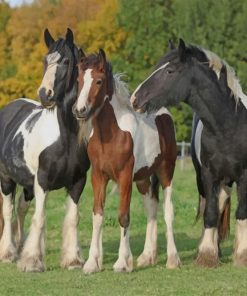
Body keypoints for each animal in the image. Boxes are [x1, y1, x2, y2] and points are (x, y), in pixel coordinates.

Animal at [0, 28, 89, 272]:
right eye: (45, 60)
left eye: (66, 61)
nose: (44, 94)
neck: (67, 138)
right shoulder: (42, 181)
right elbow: (39, 218)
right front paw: (32, 261)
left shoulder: (78, 182)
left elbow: (73, 218)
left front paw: (72, 260)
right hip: (6, 179)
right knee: (8, 210)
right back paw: (8, 253)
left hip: (27, 185)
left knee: (21, 209)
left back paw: (20, 247)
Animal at [72, 48, 180, 272]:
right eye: (79, 80)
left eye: (99, 81)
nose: (79, 110)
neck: (111, 134)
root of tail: (163, 113)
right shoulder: (99, 176)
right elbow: (97, 216)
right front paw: (92, 263)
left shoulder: (124, 177)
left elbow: (123, 216)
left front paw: (122, 262)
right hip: (143, 179)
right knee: (151, 209)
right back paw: (147, 256)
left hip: (166, 172)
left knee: (167, 211)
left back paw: (173, 259)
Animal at [132, 38, 247, 268]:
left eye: (170, 71)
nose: (135, 99)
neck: (230, 125)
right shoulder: (209, 174)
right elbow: (210, 213)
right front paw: (207, 254)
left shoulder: (245, 175)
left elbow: (242, 212)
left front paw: (241, 255)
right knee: (215, 204)